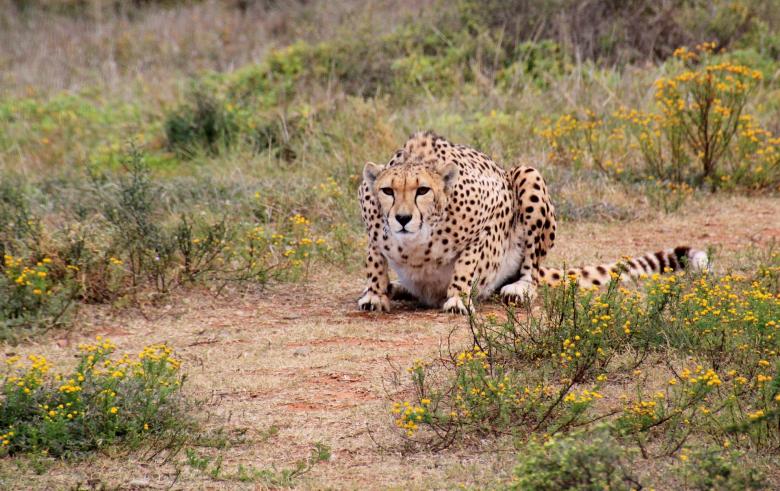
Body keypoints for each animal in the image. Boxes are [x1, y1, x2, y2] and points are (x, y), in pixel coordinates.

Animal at [357, 131, 709, 314]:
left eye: (423, 190)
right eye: (387, 191)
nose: (403, 218)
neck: (417, 241)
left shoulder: (495, 209)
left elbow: (469, 260)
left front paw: (457, 296)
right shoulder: (371, 223)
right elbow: (374, 259)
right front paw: (375, 293)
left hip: (528, 175)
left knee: (532, 267)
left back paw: (520, 288)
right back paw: (397, 287)